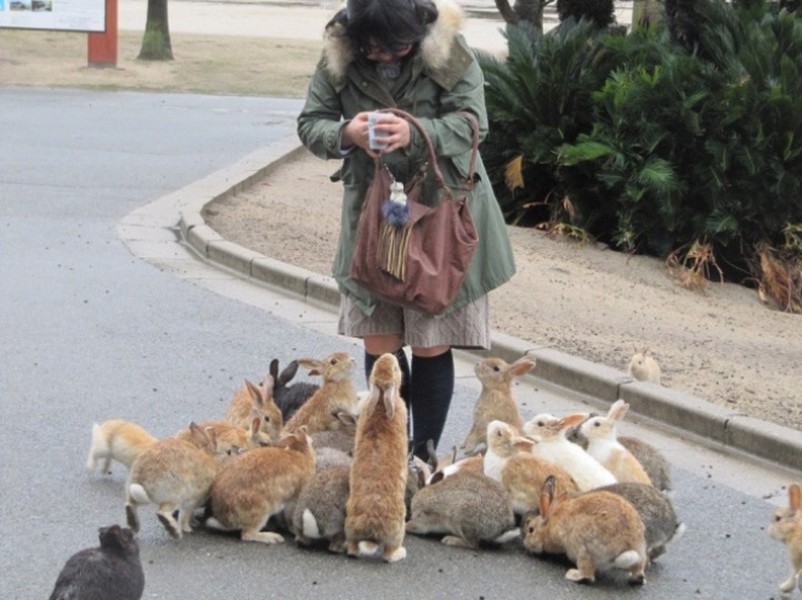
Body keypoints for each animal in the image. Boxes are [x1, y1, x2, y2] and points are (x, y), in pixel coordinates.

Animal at [342, 352, 406, 564]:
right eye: (396, 369)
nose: (389, 355)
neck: (379, 405)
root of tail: (372, 529)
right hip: (397, 530)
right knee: (388, 554)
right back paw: (400, 554)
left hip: (351, 527)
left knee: (353, 548)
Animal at [520, 476, 648, 584]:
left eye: (531, 530)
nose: (526, 544)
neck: (549, 525)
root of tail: (628, 546)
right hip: (640, 553)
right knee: (639, 572)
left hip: (583, 549)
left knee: (588, 575)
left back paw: (572, 574)